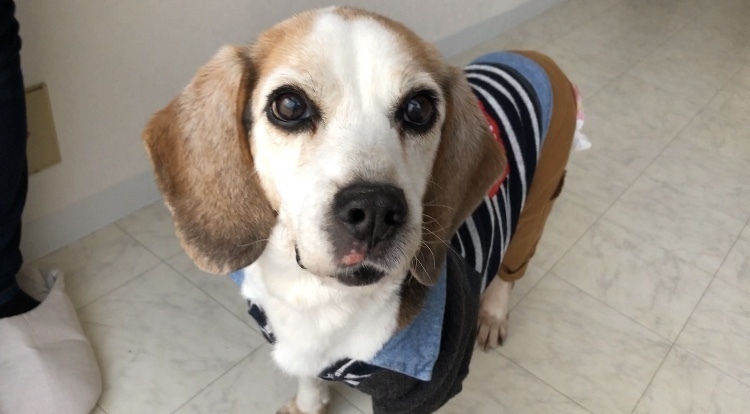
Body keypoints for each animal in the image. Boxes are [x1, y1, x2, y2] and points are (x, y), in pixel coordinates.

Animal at [143, 7, 580, 414]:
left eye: (419, 109)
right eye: (289, 105)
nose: (375, 209)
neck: (318, 300)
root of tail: (532, 56)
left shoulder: (418, 395)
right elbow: (309, 381)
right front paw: (308, 403)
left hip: (540, 197)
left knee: (512, 265)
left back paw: (492, 313)